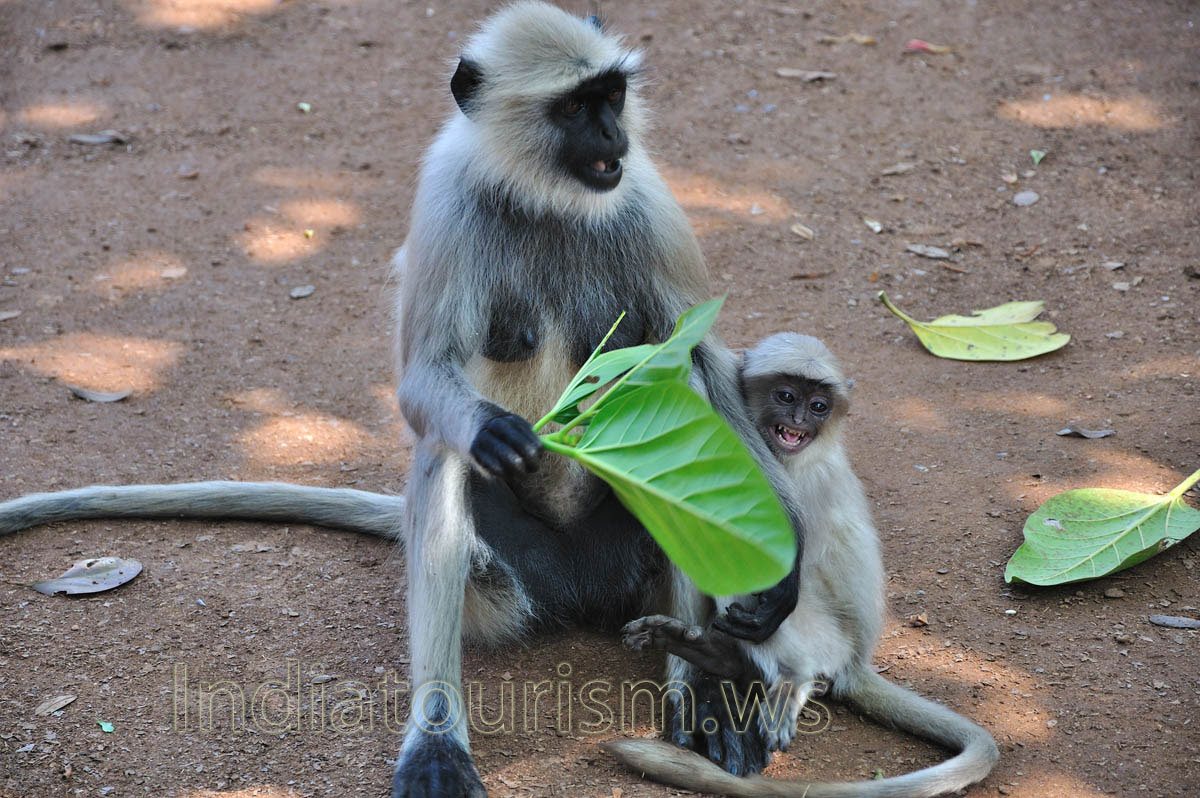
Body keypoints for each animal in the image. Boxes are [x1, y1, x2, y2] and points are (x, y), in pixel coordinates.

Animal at [0, 6, 809, 797]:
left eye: (611, 96)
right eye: (577, 108)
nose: (614, 135)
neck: (544, 196)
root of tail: (579, 587)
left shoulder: (647, 199)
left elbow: (705, 360)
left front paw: (785, 564)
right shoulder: (447, 202)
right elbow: (425, 383)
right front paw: (492, 433)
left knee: (687, 397)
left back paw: (695, 689)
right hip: (509, 582)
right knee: (447, 452)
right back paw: (438, 736)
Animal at [603, 333, 1000, 798]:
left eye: (819, 406)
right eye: (787, 396)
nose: (798, 419)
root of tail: (855, 662)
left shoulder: (806, 484)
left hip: (825, 637)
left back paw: (792, 677)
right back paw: (712, 656)